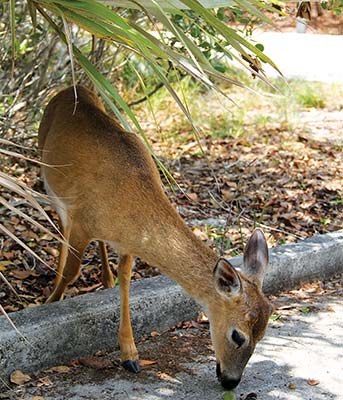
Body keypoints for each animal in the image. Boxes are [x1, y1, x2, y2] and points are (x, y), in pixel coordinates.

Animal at [38, 86, 274, 390]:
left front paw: (130, 354)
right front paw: (50, 302)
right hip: (47, 176)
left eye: (263, 335)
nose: (230, 381)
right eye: (238, 335)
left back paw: (105, 278)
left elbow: (126, 280)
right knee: (60, 226)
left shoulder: (125, 243)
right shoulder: (81, 223)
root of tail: (71, 88)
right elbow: (72, 271)